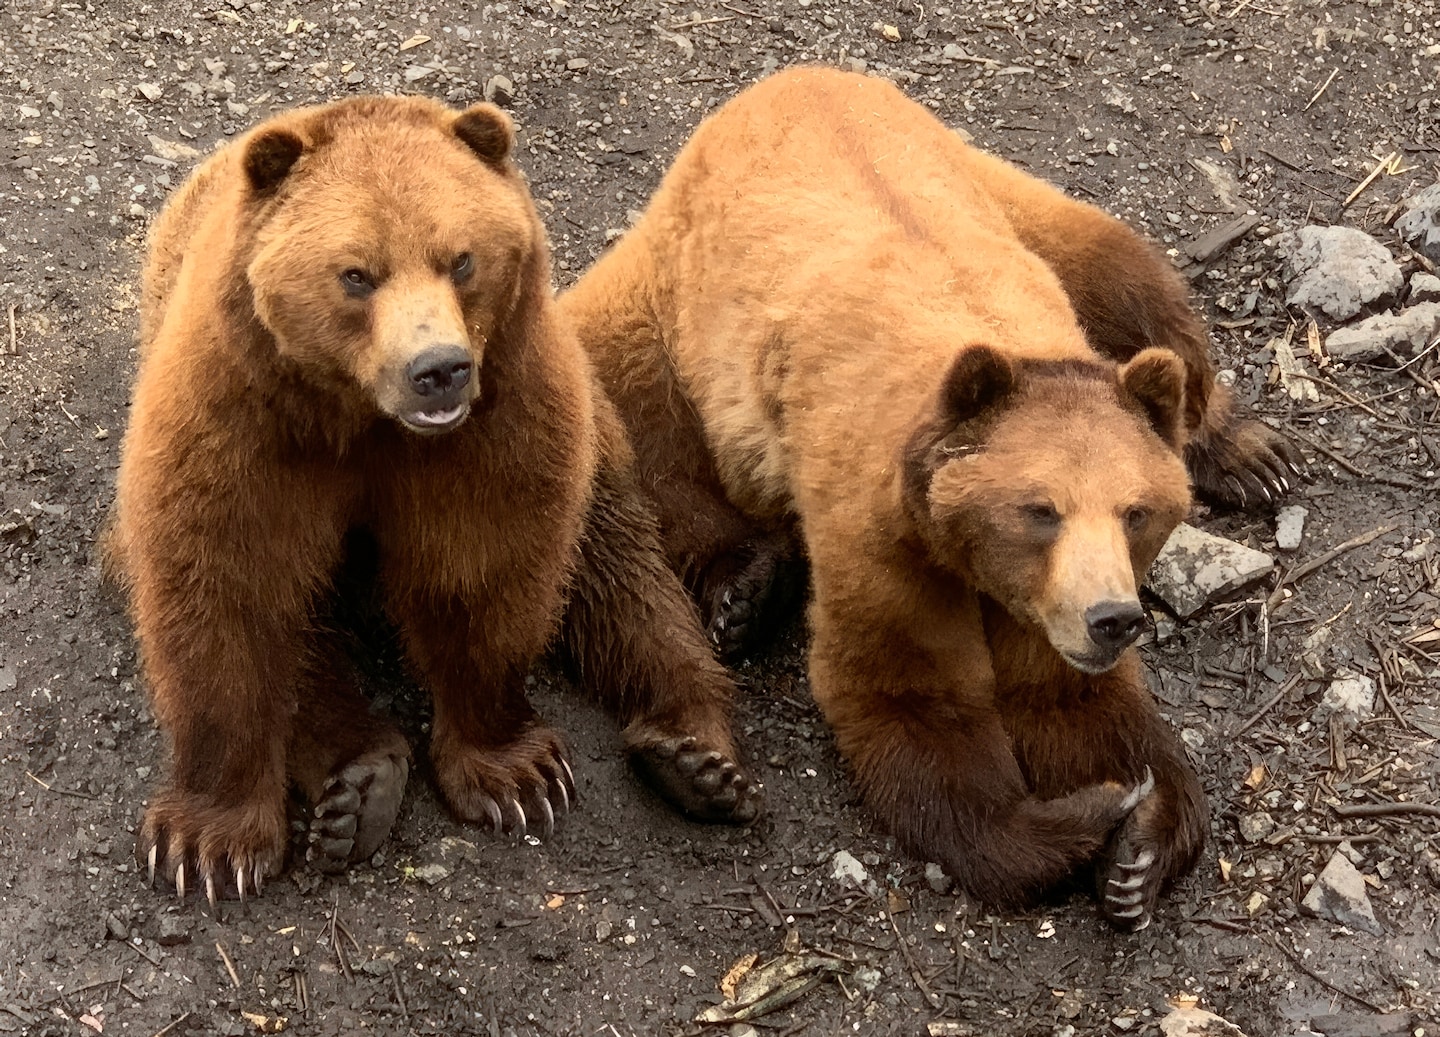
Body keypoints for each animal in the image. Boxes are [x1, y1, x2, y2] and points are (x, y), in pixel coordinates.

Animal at [106, 95, 762, 907]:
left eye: (463, 259)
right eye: (356, 273)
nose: (438, 369)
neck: (360, 420)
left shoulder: (494, 427)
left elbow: (479, 575)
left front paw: (516, 772)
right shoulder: (242, 427)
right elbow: (228, 596)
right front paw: (207, 842)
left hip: (599, 441)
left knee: (626, 582)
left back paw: (696, 753)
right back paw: (359, 780)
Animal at [560, 67, 1301, 929]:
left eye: (1136, 511)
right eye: (1040, 508)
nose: (1112, 617)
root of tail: (789, 78)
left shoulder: (1041, 594)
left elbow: (1073, 701)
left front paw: (1140, 844)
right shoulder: (884, 536)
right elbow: (909, 692)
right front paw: (1079, 819)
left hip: (1005, 193)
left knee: (1137, 291)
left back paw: (1250, 451)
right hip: (661, 312)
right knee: (642, 438)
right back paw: (735, 614)